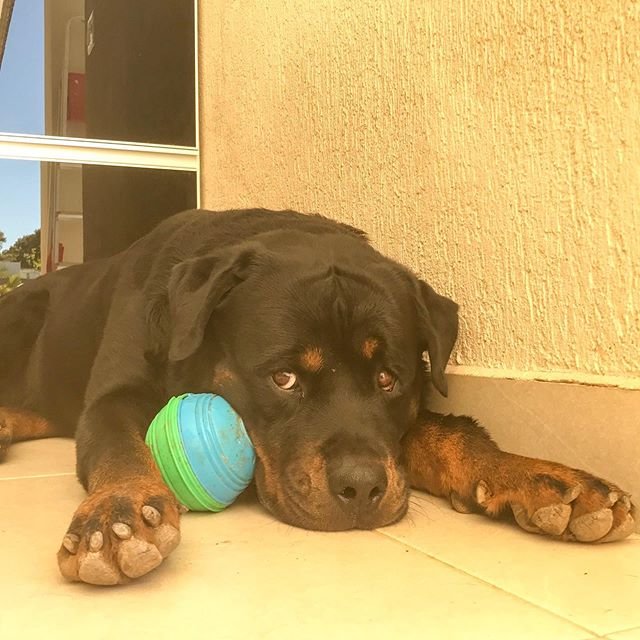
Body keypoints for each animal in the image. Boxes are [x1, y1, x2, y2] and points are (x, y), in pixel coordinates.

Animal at [1, 209, 636, 584]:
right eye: (283, 379)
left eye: (389, 378)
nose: (360, 487)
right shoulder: (113, 398)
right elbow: (119, 447)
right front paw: (118, 513)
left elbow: (450, 431)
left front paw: (540, 477)